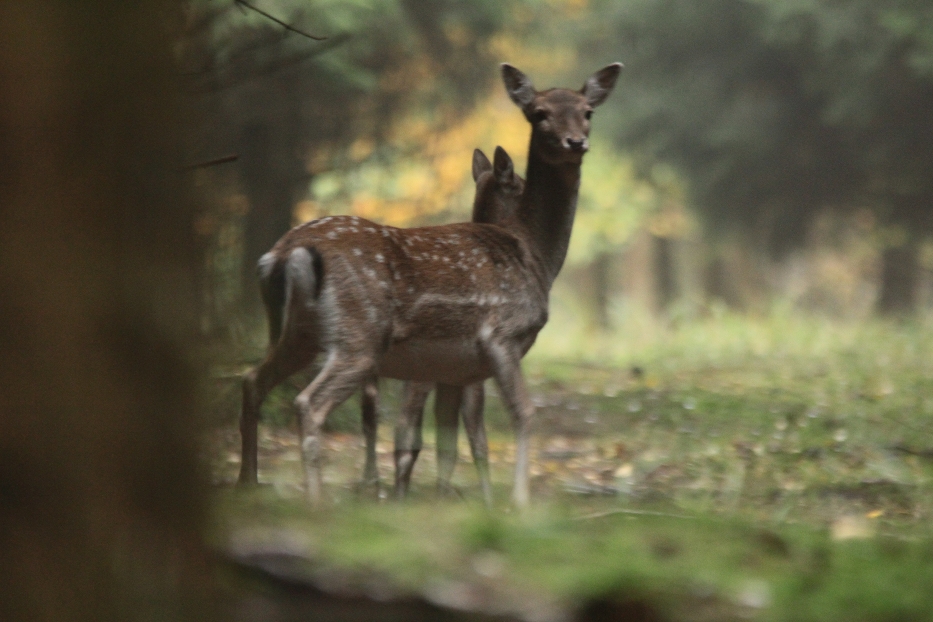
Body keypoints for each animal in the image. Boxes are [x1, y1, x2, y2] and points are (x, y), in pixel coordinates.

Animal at [238, 62, 620, 508]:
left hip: (298, 334)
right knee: (309, 403)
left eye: (587, 111)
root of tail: (285, 253)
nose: (575, 141)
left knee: (252, 381)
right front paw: (518, 502)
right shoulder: (501, 334)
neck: (534, 254)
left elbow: (451, 441)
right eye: (539, 113)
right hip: (359, 335)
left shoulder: (453, 367)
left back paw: (249, 483)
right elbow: (522, 413)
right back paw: (315, 500)